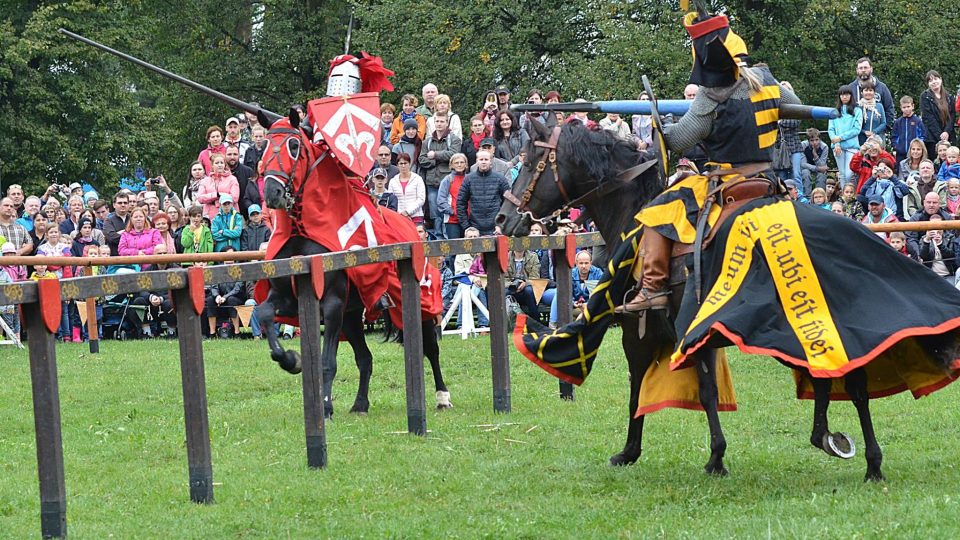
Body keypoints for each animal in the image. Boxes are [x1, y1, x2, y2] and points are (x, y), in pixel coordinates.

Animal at [253, 110, 452, 418]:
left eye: (294, 145)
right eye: (264, 146)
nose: (273, 191)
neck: (302, 235)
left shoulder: (333, 304)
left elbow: (327, 362)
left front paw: (325, 407)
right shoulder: (287, 299)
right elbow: (263, 314)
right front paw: (290, 360)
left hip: (416, 302)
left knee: (430, 346)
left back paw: (442, 396)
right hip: (352, 316)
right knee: (365, 358)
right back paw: (360, 404)